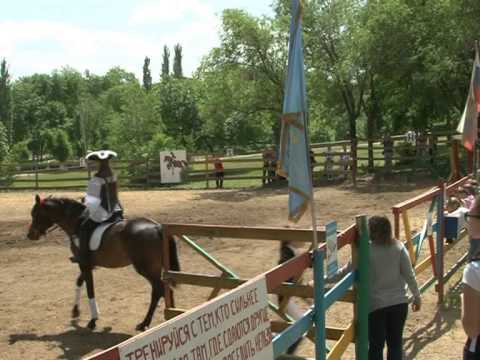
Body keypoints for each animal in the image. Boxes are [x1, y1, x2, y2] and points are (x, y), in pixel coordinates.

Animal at [26, 195, 180, 330]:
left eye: (36, 214)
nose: (30, 235)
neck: (77, 223)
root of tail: (157, 226)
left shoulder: (85, 264)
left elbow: (90, 290)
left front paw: (93, 320)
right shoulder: (87, 265)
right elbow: (79, 282)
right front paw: (75, 311)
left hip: (146, 268)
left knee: (158, 290)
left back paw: (144, 323)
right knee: (166, 288)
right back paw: (171, 315)